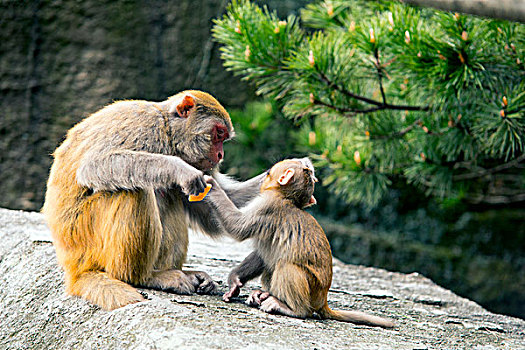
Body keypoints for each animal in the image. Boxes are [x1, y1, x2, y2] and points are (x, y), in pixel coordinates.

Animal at [41, 89, 264, 308]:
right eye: (218, 133)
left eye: (223, 138)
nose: (220, 155)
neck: (168, 132)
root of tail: (74, 268)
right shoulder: (144, 126)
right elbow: (94, 165)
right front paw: (178, 168)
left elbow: (216, 209)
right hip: (87, 236)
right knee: (135, 190)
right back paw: (144, 277)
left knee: (170, 194)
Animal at [205, 159, 392, 328]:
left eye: (268, 173)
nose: (263, 179)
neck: (287, 198)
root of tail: (323, 301)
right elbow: (263, 255)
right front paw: (235, 279)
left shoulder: (266, 206)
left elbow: (237, 226)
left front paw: (212, 186)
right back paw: (264, 295)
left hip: (312, 290)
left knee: (286, 266)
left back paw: (291, 309)